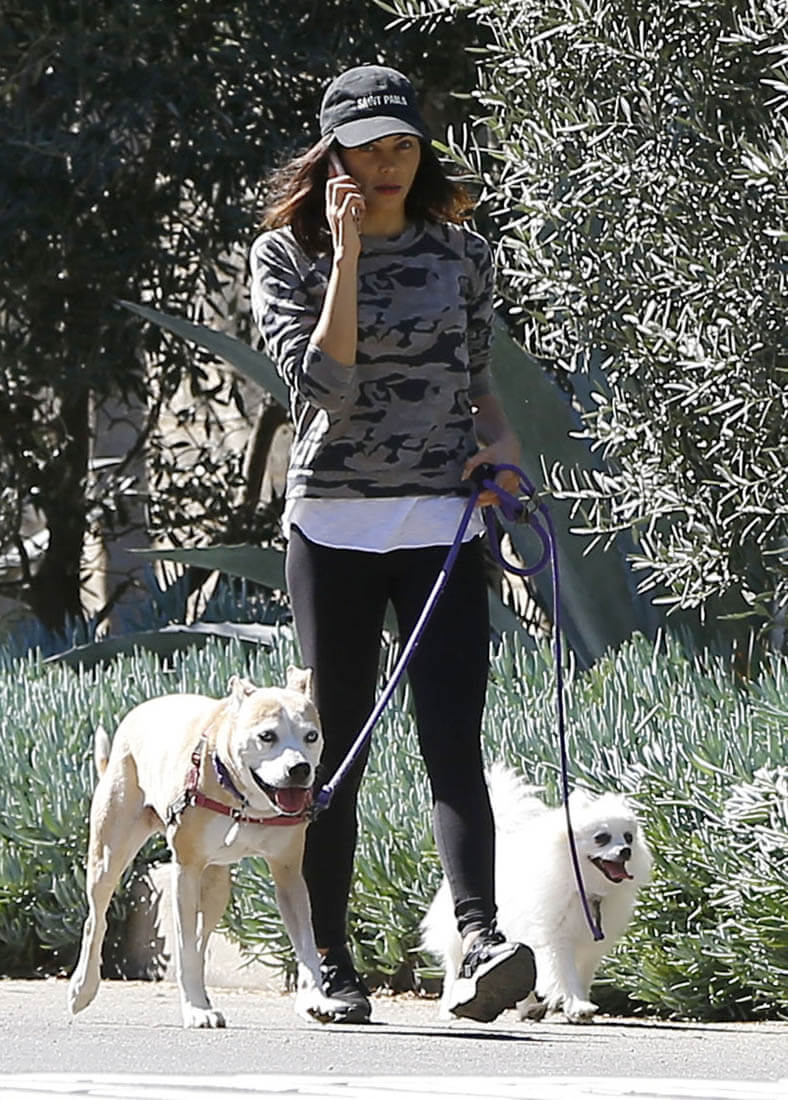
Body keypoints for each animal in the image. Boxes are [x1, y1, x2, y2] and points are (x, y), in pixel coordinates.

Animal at [68, 667, 347, 1028]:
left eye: (311, 736)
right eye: (267, 736)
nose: (300, 768)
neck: (244, 801)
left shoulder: (288, 875)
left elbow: (306, 942)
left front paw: (315, 998)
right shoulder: (186, 872)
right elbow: (185, 948)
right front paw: (196, 1010)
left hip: (216, 884)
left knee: (202, 938)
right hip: (109, 855)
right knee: (97, 919)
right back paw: (83, 989)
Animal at [422, 763, 652, 1023]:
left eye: (628, 837)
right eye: (601, 838)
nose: (626, 851)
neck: (583, 886)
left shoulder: (589, 946)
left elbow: (583, 975)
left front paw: (579, 1007)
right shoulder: (556, 938)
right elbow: (566, 973)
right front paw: (578, 1005)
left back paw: (528, 1007)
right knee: (453, 969)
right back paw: (451, 1009)